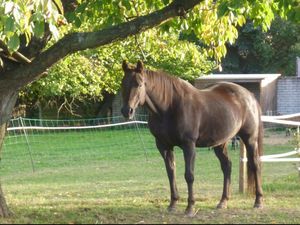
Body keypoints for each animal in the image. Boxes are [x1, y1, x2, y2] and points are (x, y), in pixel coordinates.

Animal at [120, 59, 264, 216]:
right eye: (122, 84)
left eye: (139, 84)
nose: (127, 111)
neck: (169, 106)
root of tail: (249, 96)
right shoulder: (164, 146)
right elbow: (171, 173)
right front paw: (173, 204)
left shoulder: (188, 145)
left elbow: (189, 175)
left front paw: (190, 207)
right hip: (220, 143)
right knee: (227, 166)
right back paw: (223, 202)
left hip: (250, 139)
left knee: (255, 165)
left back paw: (258, 201)